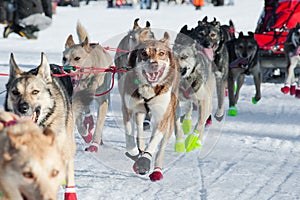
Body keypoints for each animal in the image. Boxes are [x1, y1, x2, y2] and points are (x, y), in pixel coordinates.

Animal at [63, 21, 113, 152]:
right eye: (64, 58)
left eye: (77, 58)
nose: (66, 69)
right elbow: (78, 123)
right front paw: (86, 136)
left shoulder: (103, 102)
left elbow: (99, 125)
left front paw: (94, 143)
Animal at [118, 32, 179, 182]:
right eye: (143, 53)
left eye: (162, 53)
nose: (154, 65)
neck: (148, 88)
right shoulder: (127, 109)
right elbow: (129, 135)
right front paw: (134, 152)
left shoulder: (162, 117)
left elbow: (154, 142)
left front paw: (144, 161)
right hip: (139, 114)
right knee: (139, 129)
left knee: (161, 147)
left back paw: (157, 170)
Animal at [173, 25, 216, 153]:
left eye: (184, 57)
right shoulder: (175, 102)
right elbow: (177, 125)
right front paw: (179, 143)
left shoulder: (203, 101)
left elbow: (200, 123)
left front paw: (192, 140)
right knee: (189, 109)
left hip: (208, 102)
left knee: (203, 120)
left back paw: (198, 141)